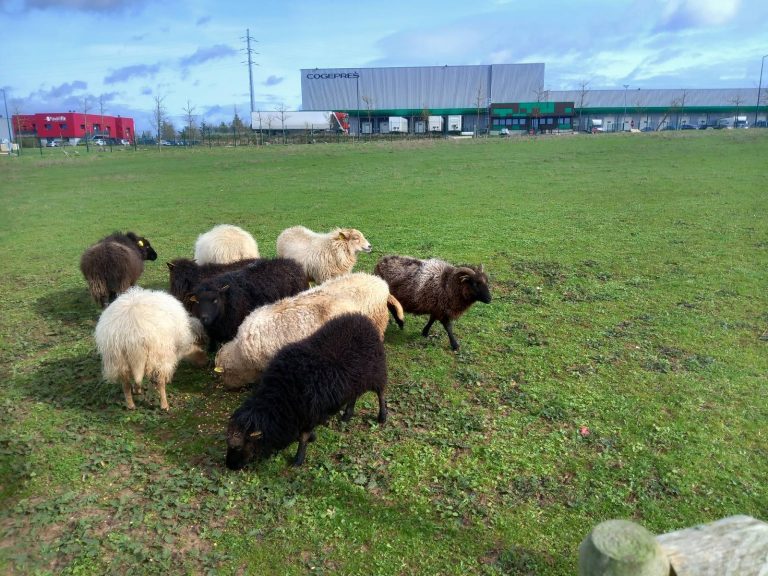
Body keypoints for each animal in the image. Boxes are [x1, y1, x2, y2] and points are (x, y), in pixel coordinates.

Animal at [225, 313, 387, 469]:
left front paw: (298, 459)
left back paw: (382, 417)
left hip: (377, 371)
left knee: (381, 393)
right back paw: (347, 415)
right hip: (356, 380)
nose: (230, 466)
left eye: (238, 447)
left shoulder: (310, 411)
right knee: (354, 395)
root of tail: (363, 319)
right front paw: (312, 438)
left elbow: (303, 437)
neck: (281, 397)